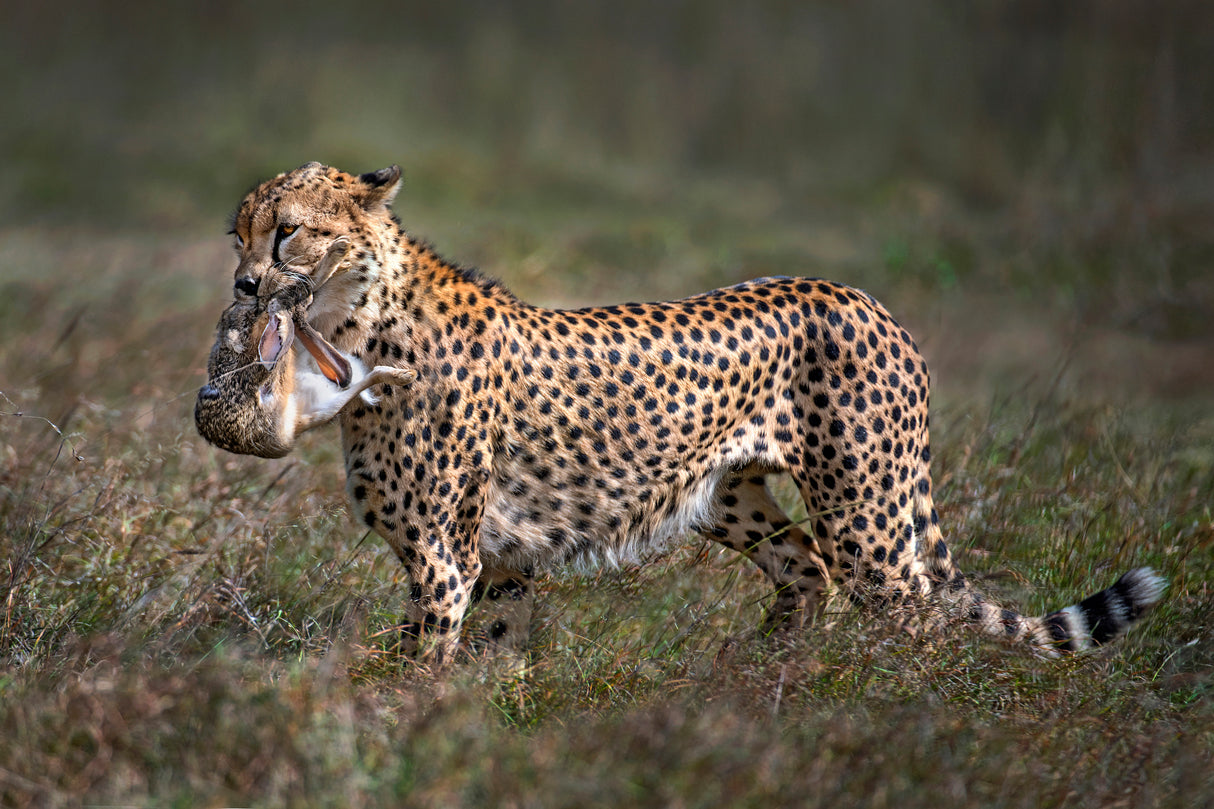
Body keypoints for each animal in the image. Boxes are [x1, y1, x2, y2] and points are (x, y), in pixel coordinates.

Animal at [215, 161, 1164, 665]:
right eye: (240, 232)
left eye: (289, 231)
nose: (245, 284)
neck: (361, 322)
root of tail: (865, 297)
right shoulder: (498, 559)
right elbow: (492, 646)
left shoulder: (444, 557)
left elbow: (415, 664)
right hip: (729, 496)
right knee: (804, 570)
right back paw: (763, 682)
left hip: (869, 517)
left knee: (915, 620)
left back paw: (901, 727)